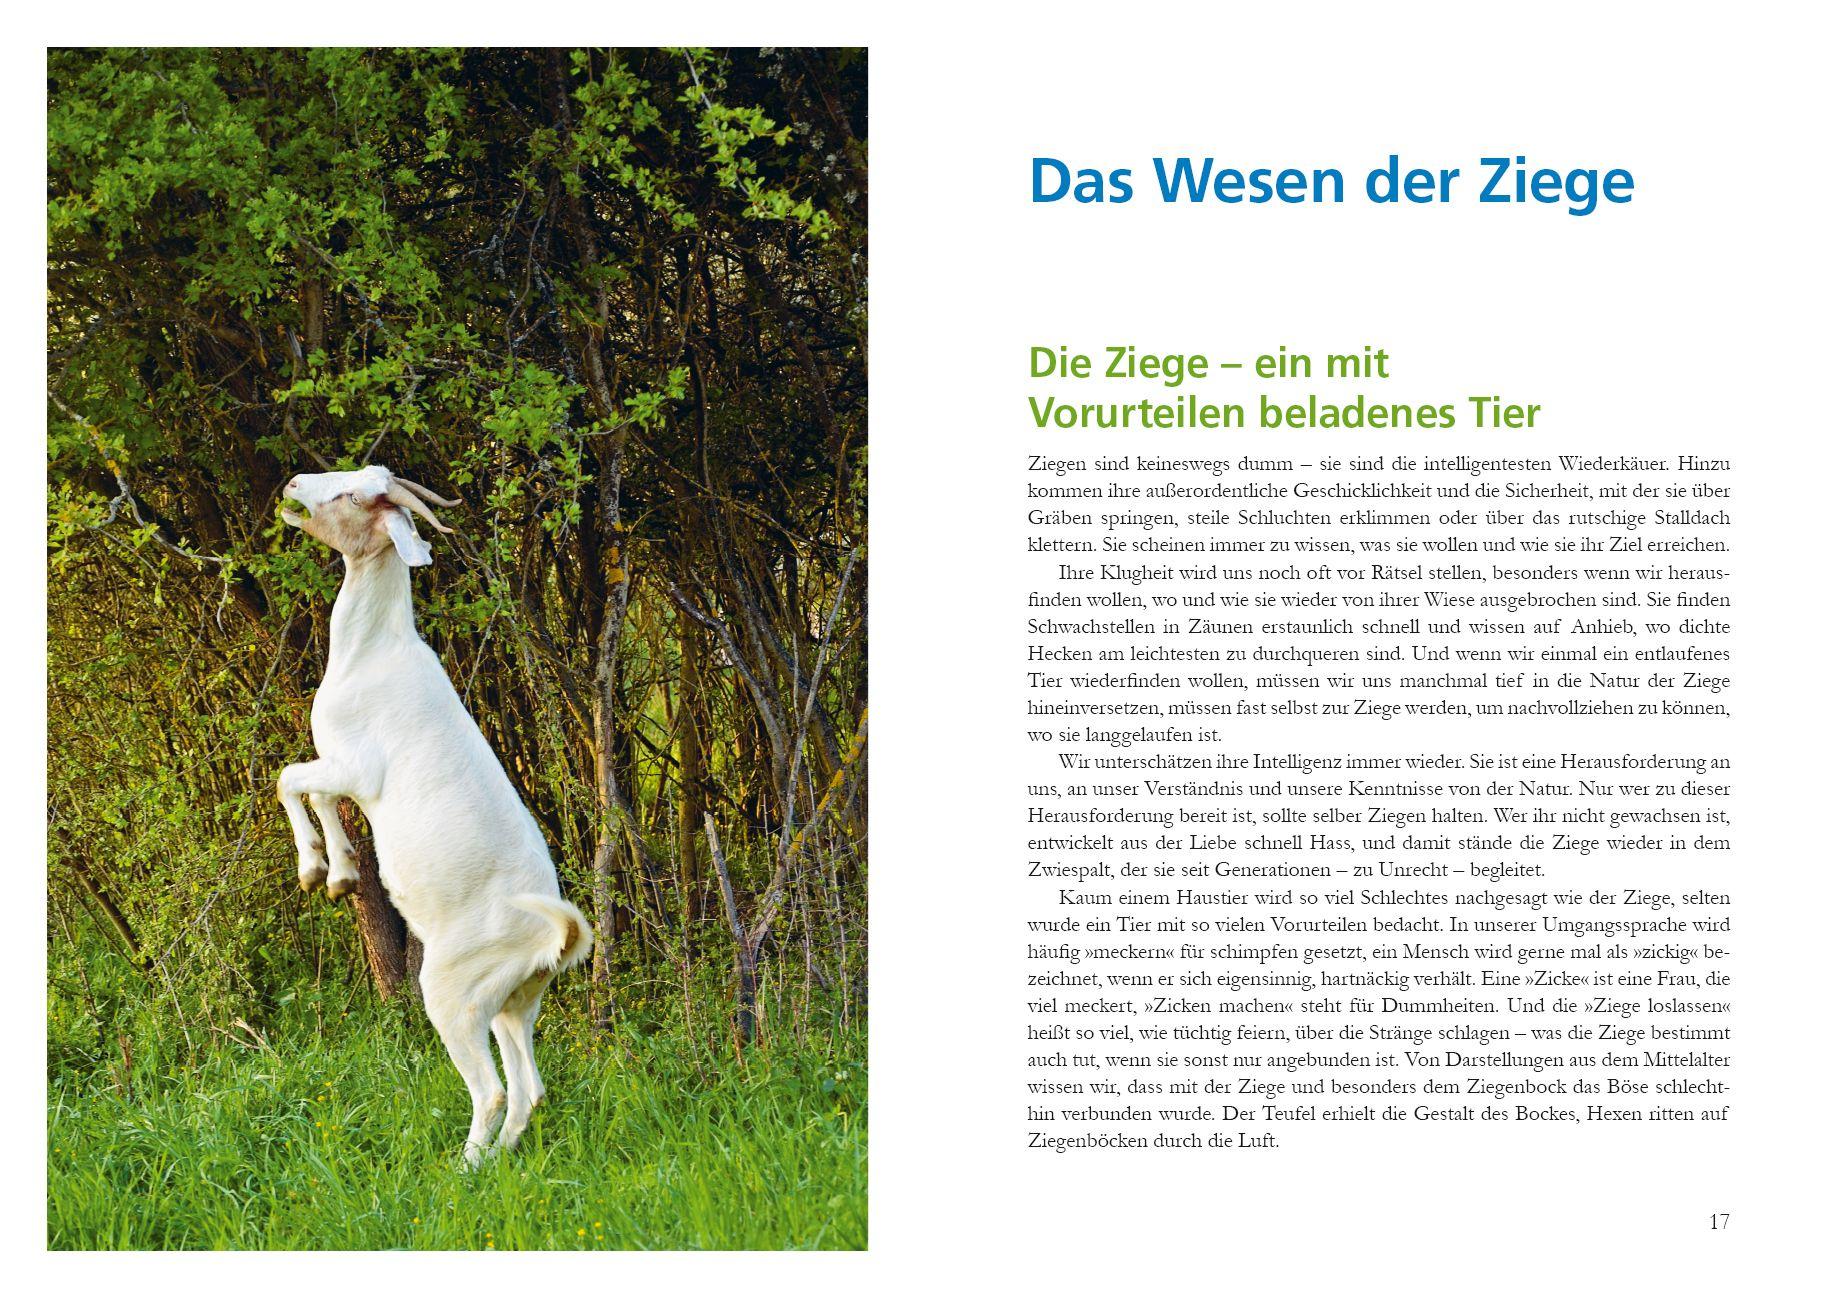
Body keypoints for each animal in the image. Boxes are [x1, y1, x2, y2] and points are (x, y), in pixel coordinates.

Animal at [277, 464, 592, 1164]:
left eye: (352, 496)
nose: (293, 486)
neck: (374, 653)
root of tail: (552, 942)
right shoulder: (344, 773)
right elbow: (318, 795)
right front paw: (341, 874)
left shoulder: (354, 767)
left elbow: (291, 780)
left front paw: (315, 871)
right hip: (511, 1004)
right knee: (529, 1088)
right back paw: (500, 1162)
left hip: (452, 993)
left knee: (493, 1091)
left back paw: (464, 1170)